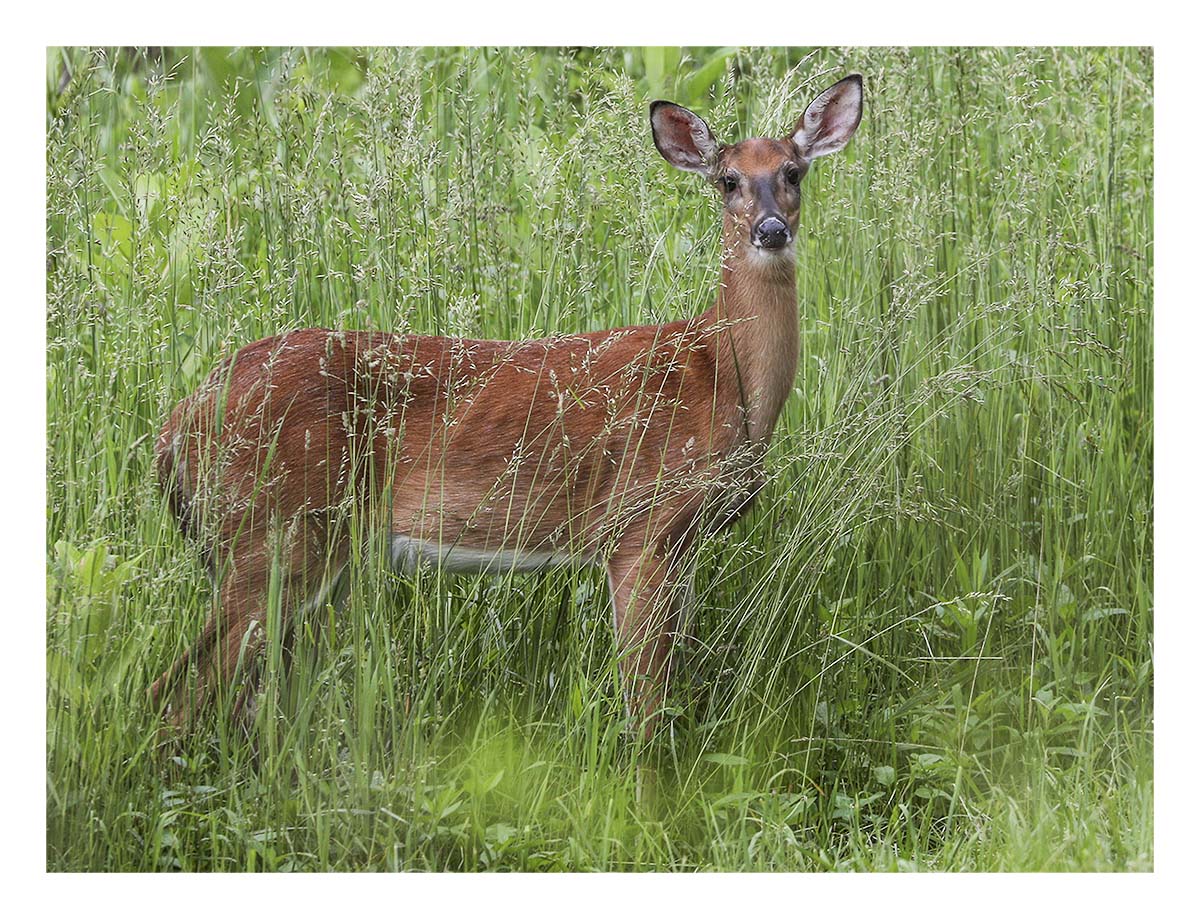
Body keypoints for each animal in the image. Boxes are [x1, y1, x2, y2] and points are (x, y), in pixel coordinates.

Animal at [152, 75, 864, 743]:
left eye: (793, 171)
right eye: (727, 179)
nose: (770, 230)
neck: (721, 376)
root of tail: (181, 417)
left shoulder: (682, 543)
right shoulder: (636, 525)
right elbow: (645, 709)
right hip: (270, 530)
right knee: (178, 693)